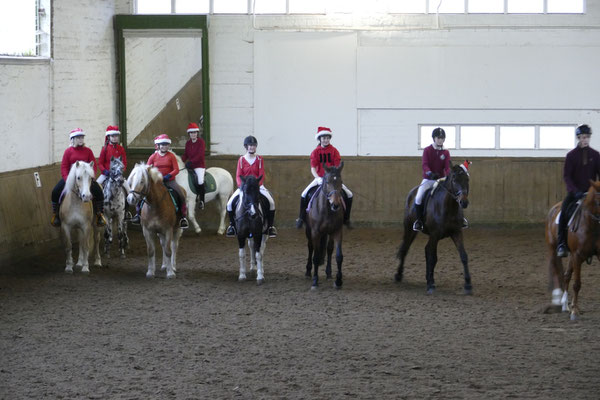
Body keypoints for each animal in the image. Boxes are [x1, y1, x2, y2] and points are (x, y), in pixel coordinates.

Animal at [304, 162, 346, 290]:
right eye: (327, 182)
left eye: (341, 181)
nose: (335, 205)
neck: (327, 210)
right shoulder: (315, 233)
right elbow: (316, 257)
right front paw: (315, 281)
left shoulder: (337, 231)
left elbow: (338, 256)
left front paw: (338, 281)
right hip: (309, 231)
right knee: (310, 247)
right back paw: (308, 272)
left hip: (329, 233)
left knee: (329, 249)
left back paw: (328, 273)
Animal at [394, 162, 474, 294]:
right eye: (454, 180)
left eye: (467, 179)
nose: (464, 202)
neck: (449, 207)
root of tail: (412, 192)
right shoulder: (435, 234)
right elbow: (432, 257)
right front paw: (431, 284)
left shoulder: (456, 232)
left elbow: (463, 255)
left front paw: (468, 285)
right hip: (410, 229)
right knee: (406, 248)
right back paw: (399, 275)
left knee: (427, 251)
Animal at [544, 180, 600, 320]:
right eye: (598, 201)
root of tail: (554, 208)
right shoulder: (578, 255)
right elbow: (577, 284)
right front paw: (575, 311)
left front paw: (573, 308)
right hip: (553, 248)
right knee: (555, 269)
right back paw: (557, 299)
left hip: (572, 256)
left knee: (566, 275)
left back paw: (565, 304)